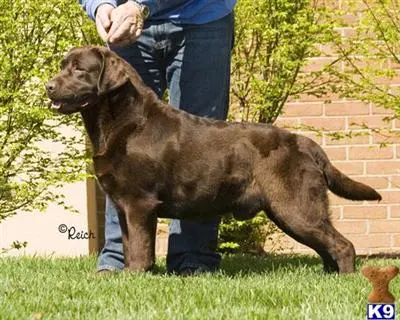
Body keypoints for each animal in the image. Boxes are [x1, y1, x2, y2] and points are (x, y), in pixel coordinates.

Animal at [45, 46, 382, 274]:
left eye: (79, 69)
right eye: (62, 66)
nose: (48, 86)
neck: (122, 122)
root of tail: (306, 143)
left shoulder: (140, 203)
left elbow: (140, 247)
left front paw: (136, 276)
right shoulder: (122, 204)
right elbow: (129, 245)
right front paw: (127, 274)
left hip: (295, 206)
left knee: (342, 245)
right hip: (293, 210)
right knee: (327, 247)